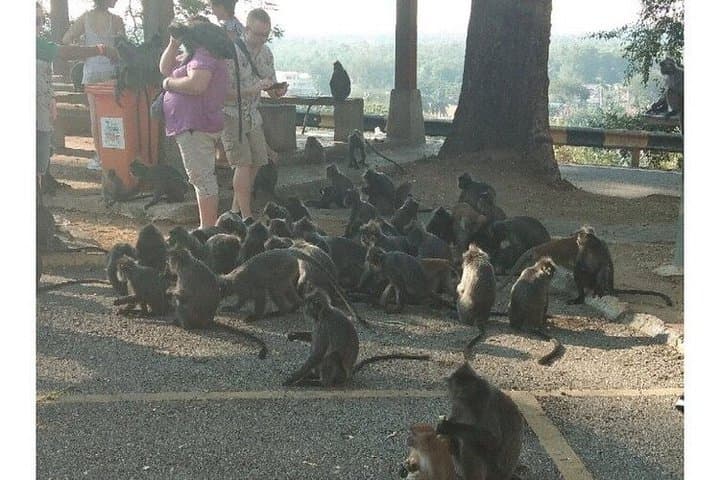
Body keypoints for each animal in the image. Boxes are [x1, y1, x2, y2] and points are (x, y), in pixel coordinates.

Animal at [283, 288, 429, 387]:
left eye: (307, 303)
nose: (303, 307)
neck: (324, 313)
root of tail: (348, 375)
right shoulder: (318, 324)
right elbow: (313, 341)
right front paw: (294, 335)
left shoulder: (324, 325)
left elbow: (318, 353)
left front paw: (293, 378)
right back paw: (313, 375)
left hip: (340, 374)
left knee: (331, 356)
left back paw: (320, 382)